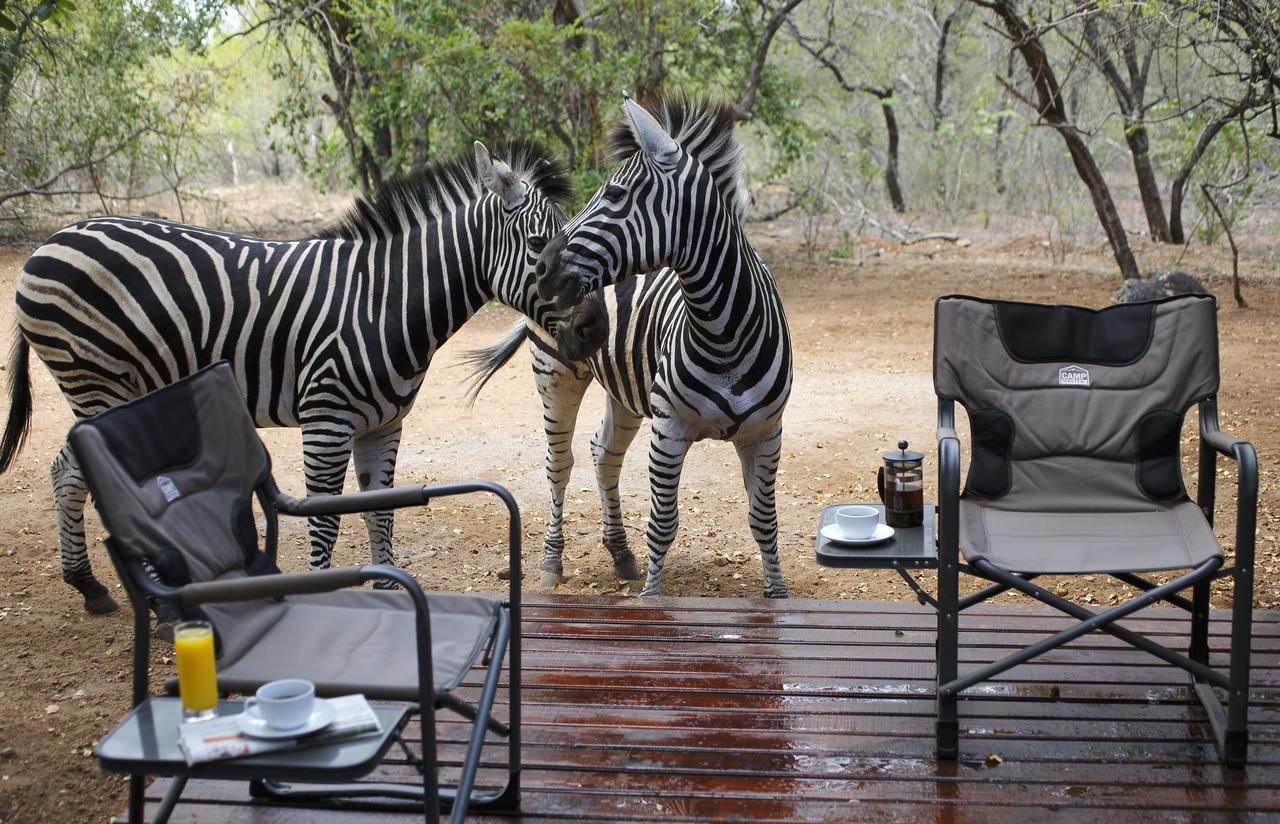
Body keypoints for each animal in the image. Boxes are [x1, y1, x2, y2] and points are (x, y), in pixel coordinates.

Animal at [3, 141, 576, 614]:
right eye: (539, 244)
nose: (588, 325)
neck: (384, 301)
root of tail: (52, 241)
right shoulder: (326, 420)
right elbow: (326, 519)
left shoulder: (384, 425)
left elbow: (381, 511)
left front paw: (389, 592)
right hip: (95, 381)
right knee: (86, 477)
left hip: (116, 388)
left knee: (65, 472)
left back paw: (89, 586)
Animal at [517, 94, 793, 598]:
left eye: (614, 196)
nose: (542, 269)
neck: (724, 331)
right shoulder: (669, 429)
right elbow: (663, 523)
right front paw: (651, 598)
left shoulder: (767, 433)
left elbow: (764, 521)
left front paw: (776, 596)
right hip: (555, 375)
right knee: (559, 463)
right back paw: (551, 562)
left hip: (624, 388)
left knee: (604, 453)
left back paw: (621, 555)